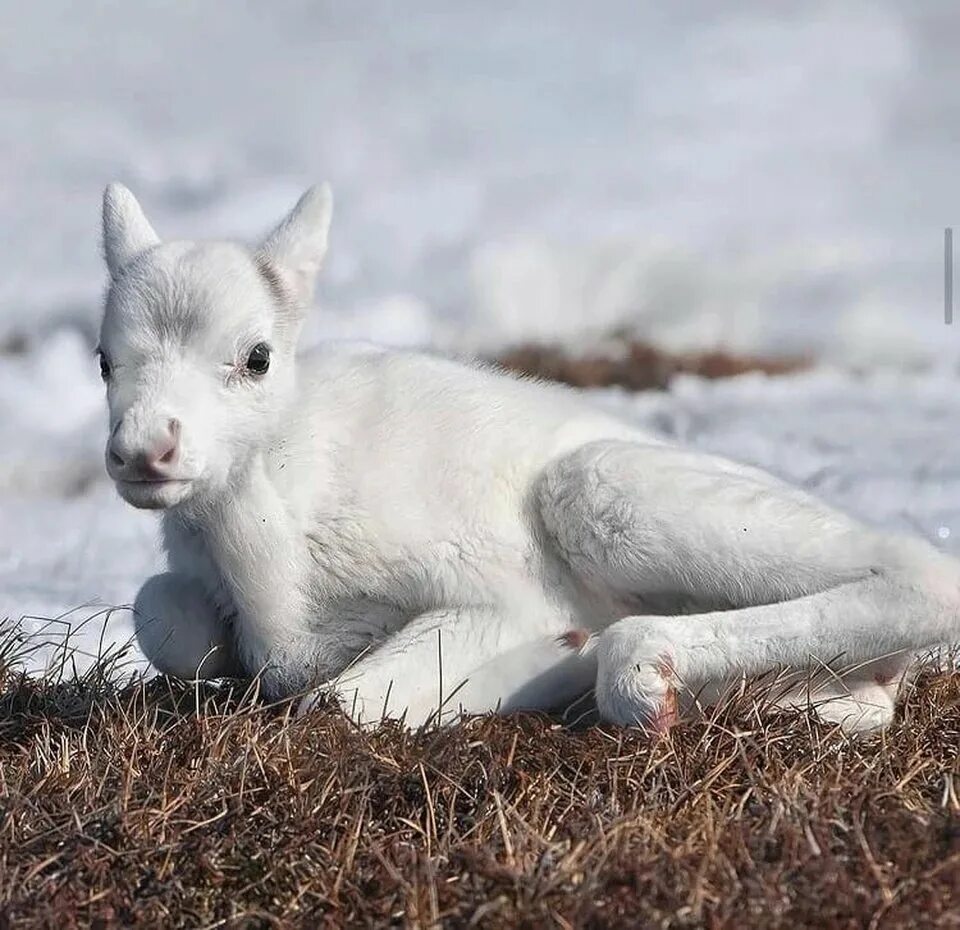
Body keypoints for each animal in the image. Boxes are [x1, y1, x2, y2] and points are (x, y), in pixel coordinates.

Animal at [99, 181, 960, 732]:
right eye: (104, 360)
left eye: (258, 356)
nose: (145, 451)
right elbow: (163, 616)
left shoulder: (496, 590)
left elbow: (340, 702)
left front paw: (549, 658)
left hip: (603, 489)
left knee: (920, 571)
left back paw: (633, 672)